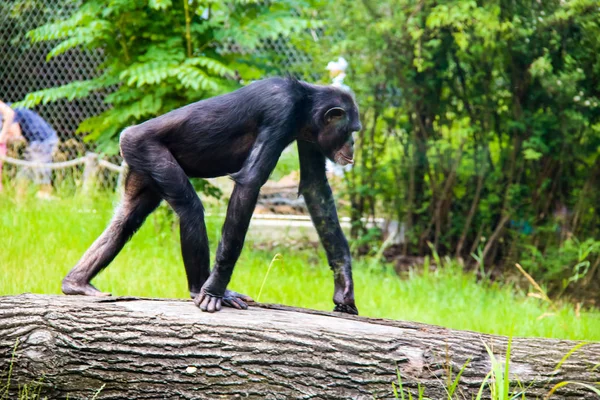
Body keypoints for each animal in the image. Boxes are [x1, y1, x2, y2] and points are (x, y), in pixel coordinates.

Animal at [62, 77, 360, 316]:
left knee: (126, 220)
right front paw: (215, 289)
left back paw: (76, 283)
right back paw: (201, 289)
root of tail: (127, 135)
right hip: (148, 151)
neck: (303, 105)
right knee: (190, 210)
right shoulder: (281, 112)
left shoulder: (311, 137)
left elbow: (315, 187)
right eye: (351, 130)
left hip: (141, 169)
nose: (354, 143)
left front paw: (344, 286)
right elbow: (249, 185)